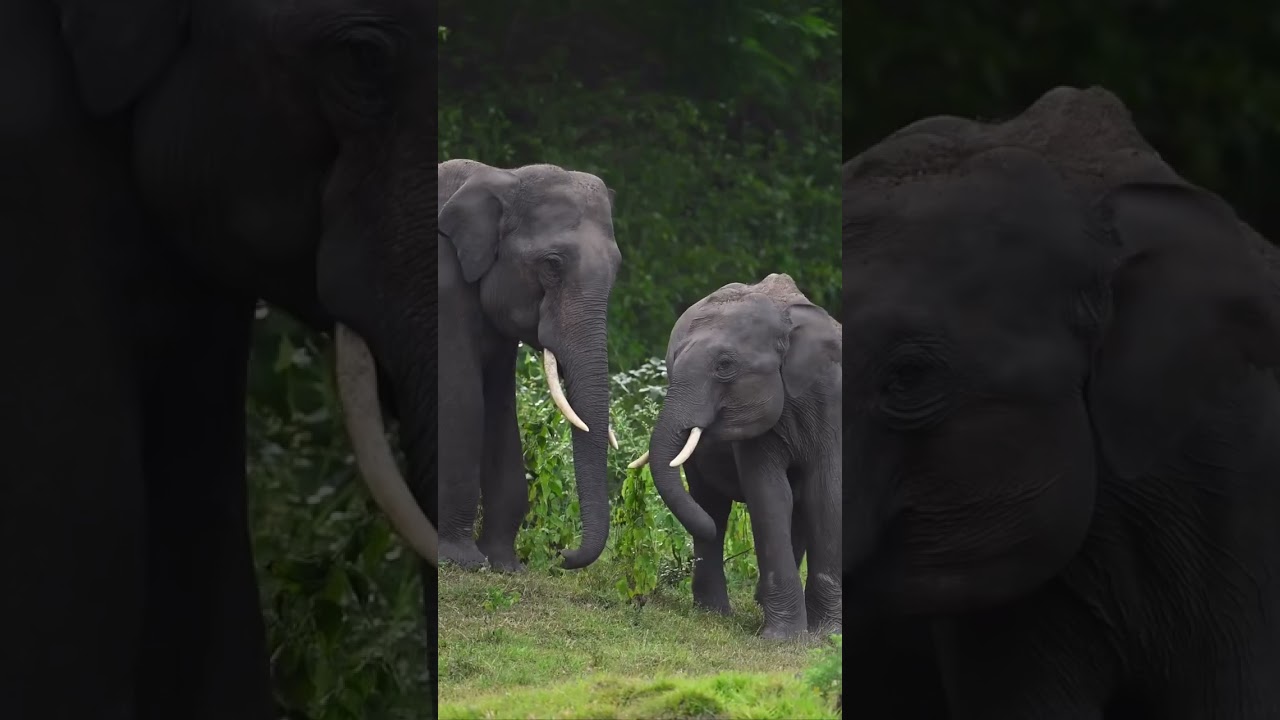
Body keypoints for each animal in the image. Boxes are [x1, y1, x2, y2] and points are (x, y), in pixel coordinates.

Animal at [438, 159, 623, 572]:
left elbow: (500, 408)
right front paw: (463, 561)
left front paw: (504, 565)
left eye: (617, 268)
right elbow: (462, 399)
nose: (564, 555)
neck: (503, 177)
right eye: (552, 264)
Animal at [628, 273, 842, 638]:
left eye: (725, 366)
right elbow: (770, 495)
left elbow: (823, 494)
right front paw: (784, 640)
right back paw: (715, 612)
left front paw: (827, 635)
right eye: (672, 363)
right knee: (711, 504)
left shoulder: (832, 401)